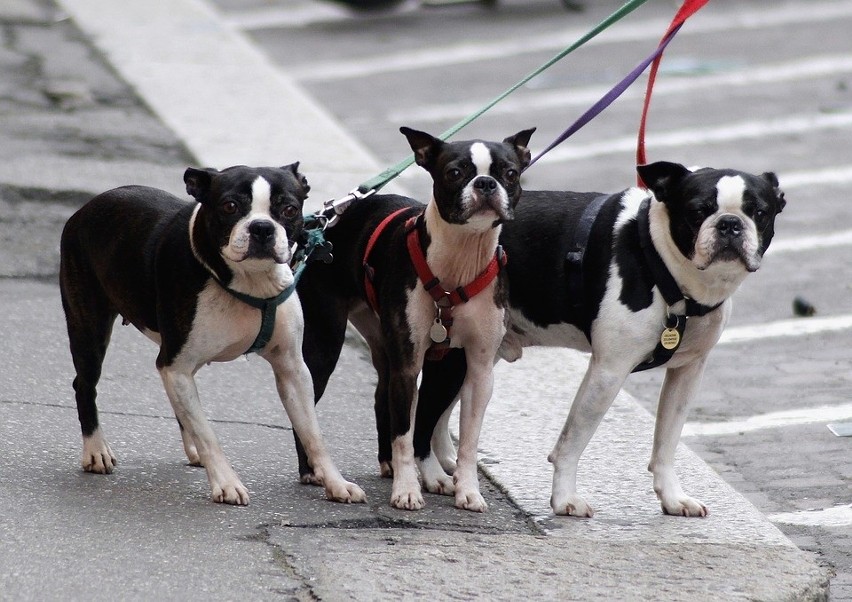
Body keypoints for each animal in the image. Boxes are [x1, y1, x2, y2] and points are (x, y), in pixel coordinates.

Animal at [59, 162, 366, 504]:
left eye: (288, 209)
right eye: (230, 206)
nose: (262, 227)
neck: (250, 282)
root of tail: (87, 207)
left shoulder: (292, 370)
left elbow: (312, 433)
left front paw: (336, 483)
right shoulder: (176, 366)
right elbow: (209, 434)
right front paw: (226, 482)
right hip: (90, 328)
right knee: (85, 384)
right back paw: (96, 451)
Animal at [406, 161, 784, 516]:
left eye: (760, 213)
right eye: (697, 211)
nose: (730, 223)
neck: (661, 264)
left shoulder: (688, 373)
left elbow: (667, 441)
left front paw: (673, 498)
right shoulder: (608, 372)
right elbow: (573, 441)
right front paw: (564, 500)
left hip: (479, 354)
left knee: (442, 413)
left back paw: (450, 467)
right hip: (455, 352)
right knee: (424, 415)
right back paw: (432, 476)